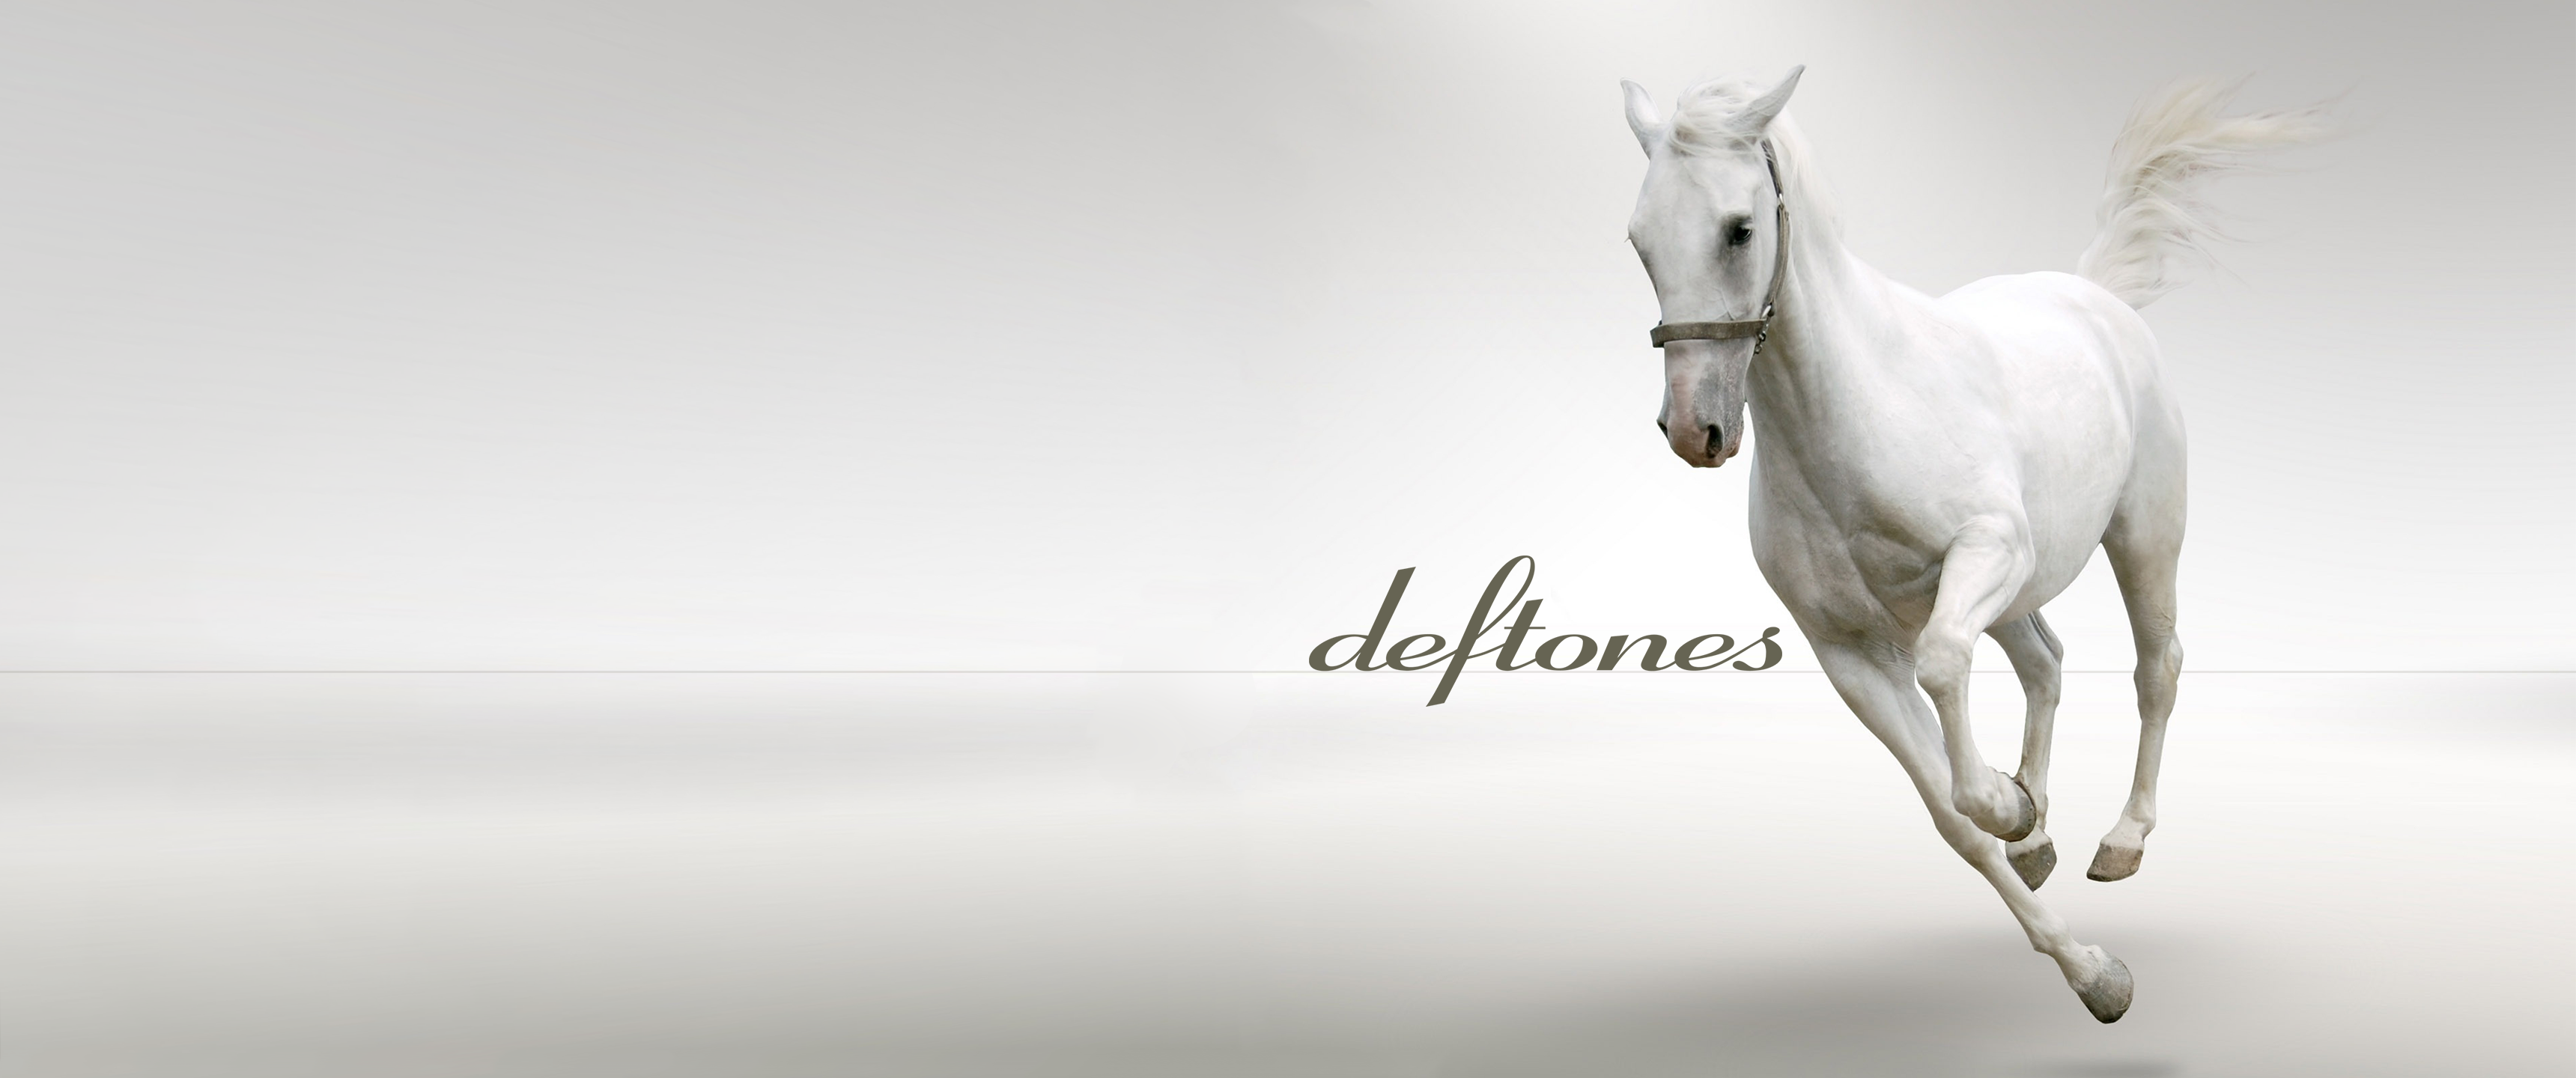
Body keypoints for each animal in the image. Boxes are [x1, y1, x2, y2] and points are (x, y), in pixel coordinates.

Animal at [1617, 68, 2326, 1022]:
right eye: (1639, 241)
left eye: (1738, 228)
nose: (1695, 431)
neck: (1856, 414)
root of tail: (2091, 293)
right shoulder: (1849, 654)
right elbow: (1952, 821)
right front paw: (2087, 960)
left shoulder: (1985, 554)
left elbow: (1947, 670)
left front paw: (2010, 810)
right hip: (2021, 593)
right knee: (2046, 662)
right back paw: (2041, 832)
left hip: (2140, 537)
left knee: (2155, 668)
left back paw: (2121, 839)